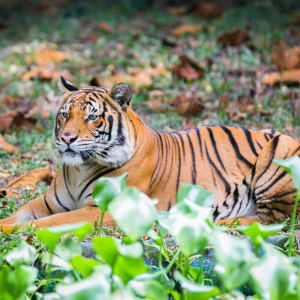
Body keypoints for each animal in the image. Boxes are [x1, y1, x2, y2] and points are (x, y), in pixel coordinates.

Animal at [0, 75, 300, 232]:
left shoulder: (102, 210)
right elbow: (21, 217)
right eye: (65, 114)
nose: (66, 138)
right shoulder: (47, 203)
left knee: (275, 218)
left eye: (92, 117)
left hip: (278, 149)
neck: (78, 169)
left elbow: (45, 224)